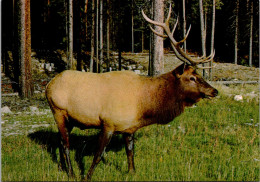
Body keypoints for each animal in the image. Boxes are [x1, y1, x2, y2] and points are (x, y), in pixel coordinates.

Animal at [46, 3, 217, 181]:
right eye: (192, 77)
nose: (214, 91)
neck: (143, 106)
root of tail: (49, 84)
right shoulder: (108, 123)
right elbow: (98, 154)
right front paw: (86, 176)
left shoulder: (129, 128)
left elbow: (130, 151)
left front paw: (132, 172)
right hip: (58, 111)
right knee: (65, 143)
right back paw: (72, 173)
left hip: (70, 119)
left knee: (60, 141)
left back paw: (62, 168)